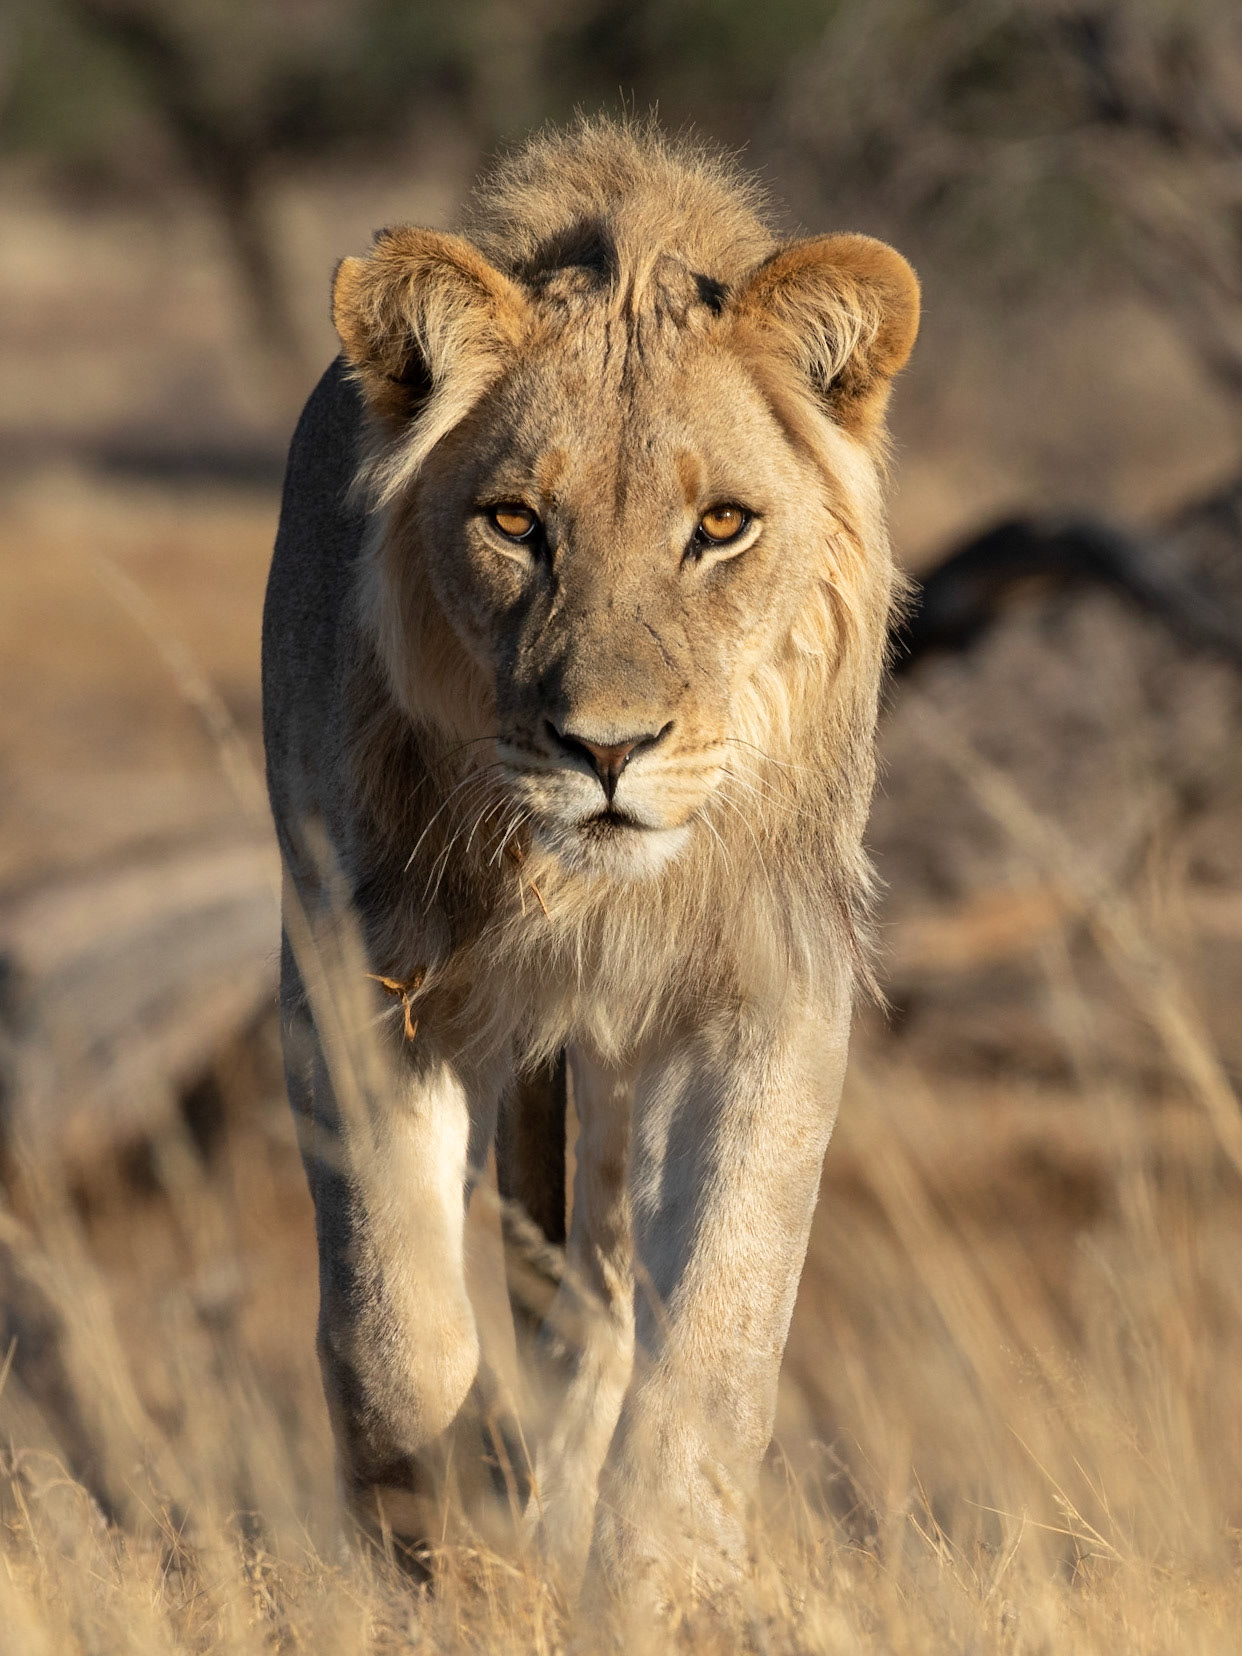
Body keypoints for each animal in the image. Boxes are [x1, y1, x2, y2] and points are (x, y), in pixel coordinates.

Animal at [262, 117, 918, 1599]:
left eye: (722, 526)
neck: (572, 890)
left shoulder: (764, 991)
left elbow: (717, 1329)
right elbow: (391, 1321)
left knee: (605, 1307)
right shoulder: (351, 968)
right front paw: (438, 1541)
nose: (605, 749)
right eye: (514, 524)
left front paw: (658, 1577)